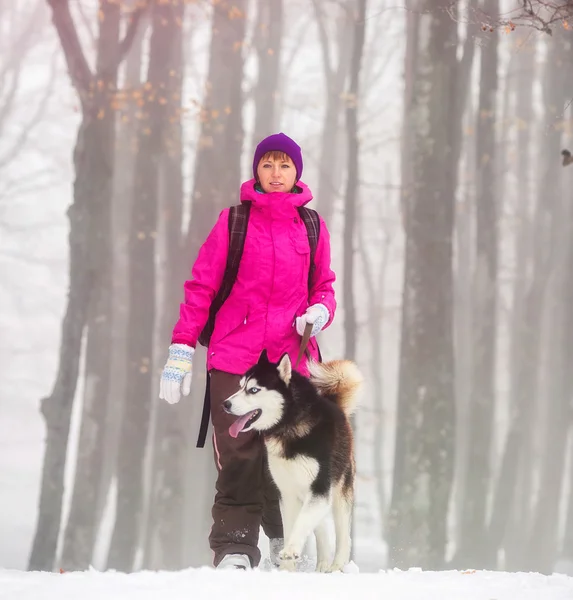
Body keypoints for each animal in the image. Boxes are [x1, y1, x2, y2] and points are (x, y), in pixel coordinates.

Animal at [220, 350, 360, 576]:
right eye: (240, 386)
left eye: (253, 389)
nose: (225, 404)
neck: (288, 425)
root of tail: (335, 405)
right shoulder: (286, 492)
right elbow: (290, 526)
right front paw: (287, 569)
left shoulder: (319, 488)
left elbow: (301, 523)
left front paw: (291, 550)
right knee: (321, 528)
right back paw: (322, 565)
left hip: (339, 492)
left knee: (342, 534)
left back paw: (336, 566)